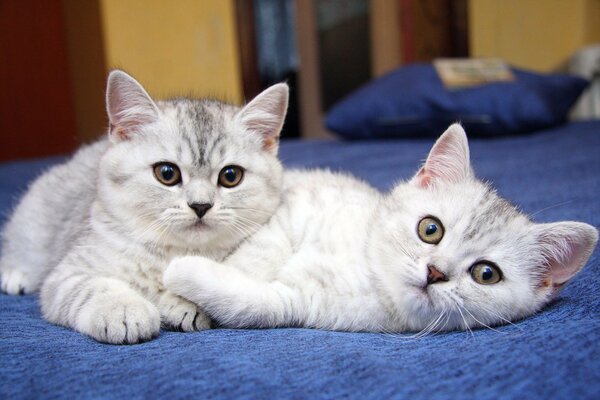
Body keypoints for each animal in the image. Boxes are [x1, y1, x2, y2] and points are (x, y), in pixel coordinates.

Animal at [0, 69, 290, 344]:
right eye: (167, 173)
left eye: (231, 176)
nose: (200, 205)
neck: (173, 251)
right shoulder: (67, 273)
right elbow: (94, 286)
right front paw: (124, 311)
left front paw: (182, 304)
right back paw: (15, 274)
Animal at [163, 125, 596, 334]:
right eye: (430, 229)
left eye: (486, 274)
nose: (435, 272)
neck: (367, 268)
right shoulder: (292, 210)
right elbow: (261, 251)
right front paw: (178, 299)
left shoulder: (301, 304)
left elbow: (249, 302)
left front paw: (183, 272)